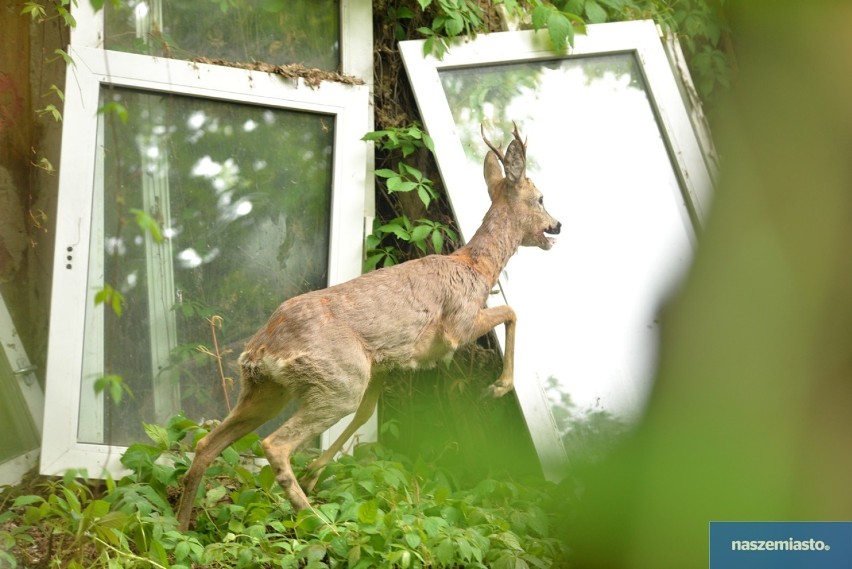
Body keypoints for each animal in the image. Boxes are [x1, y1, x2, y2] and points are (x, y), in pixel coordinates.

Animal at [175, 123, 560, 528]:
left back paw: (182, 524)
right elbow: (512, 312)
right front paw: (498, 388)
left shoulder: (384, 365)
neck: (476, 269)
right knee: (274, 444)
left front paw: (315, 472)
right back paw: (317, 521)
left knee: (206, 444)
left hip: (267, 389)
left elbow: (366, 413)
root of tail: (263, 347)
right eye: (540, 198)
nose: (558, 225)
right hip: (338, 380)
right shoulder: (458, 323)